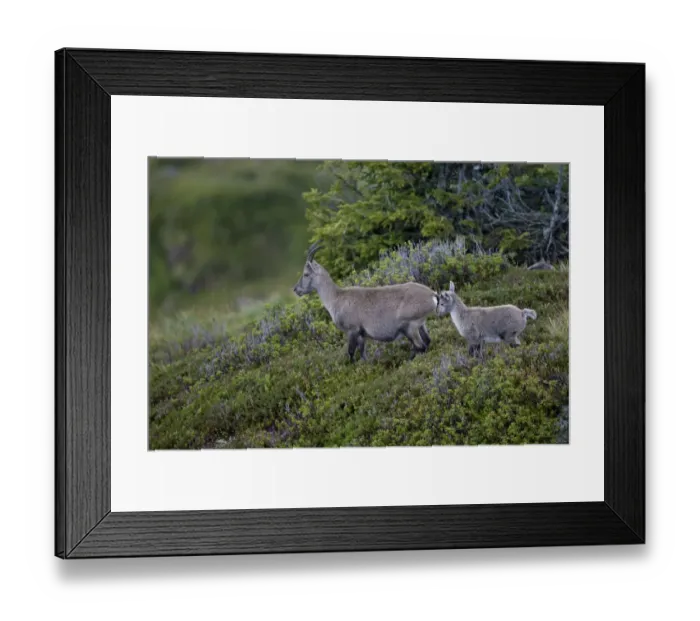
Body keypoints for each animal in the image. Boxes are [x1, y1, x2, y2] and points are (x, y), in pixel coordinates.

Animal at [293, 242, 438, 361]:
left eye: (306, 274)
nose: (296, 289)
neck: (336, 298)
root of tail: (432, 295)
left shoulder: (352, 330)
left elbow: (351, 352)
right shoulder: (362, 334)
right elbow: (363, 354)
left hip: (410, 326)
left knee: (420, 346)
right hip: (420, 325)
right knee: (427, 341)